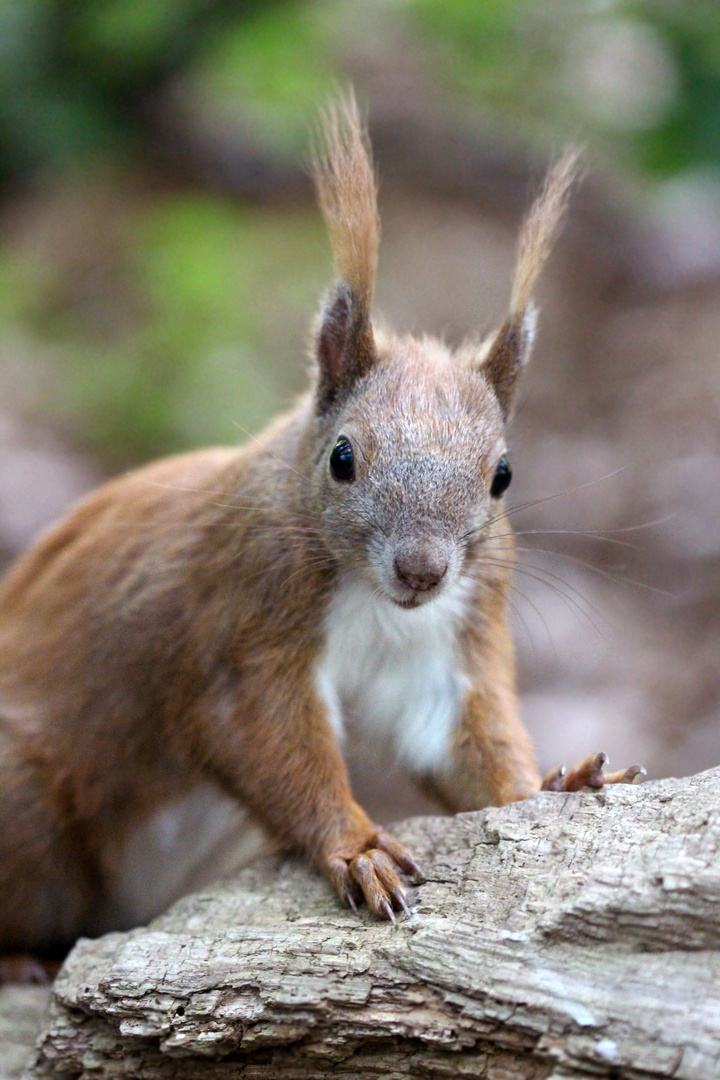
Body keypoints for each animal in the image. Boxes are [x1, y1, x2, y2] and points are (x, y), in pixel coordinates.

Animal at [0, 97, 643, 950]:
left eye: (502, 475)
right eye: (342, 458)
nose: (422, 570)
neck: (374, 601)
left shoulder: (446, 642)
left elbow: (461, 745)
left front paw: (556, 782)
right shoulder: (241, 628)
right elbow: (273, 745)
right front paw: (359, 849)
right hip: (25, 800)